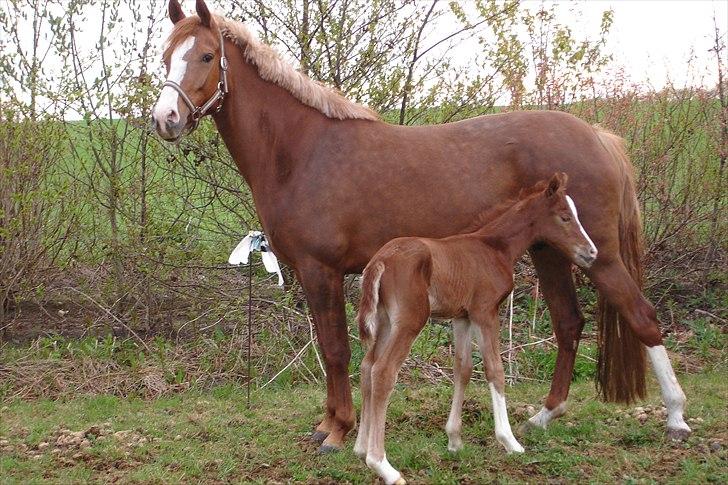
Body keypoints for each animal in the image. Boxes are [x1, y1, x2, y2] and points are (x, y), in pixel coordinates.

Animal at [352, 172, 596, 482]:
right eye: (565, 217)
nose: (591, 253)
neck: (494, 247)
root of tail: (380, 260)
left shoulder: (462, 317)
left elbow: (463, 368)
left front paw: (454, 441)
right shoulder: (485, 311)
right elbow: (495, 369)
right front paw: (509, 440)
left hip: (384, 321)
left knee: (367, 367)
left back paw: (361, 450)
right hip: (409, 320)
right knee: (383, 372)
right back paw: (383, 465)